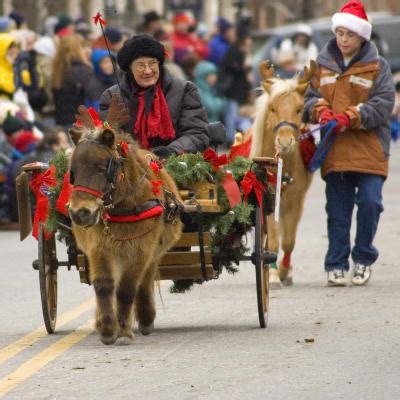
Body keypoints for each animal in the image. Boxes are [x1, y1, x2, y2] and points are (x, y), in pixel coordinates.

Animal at [67, 96, 183, 344]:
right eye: (73, 171)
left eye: (103, 168)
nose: (81, 213)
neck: (124, 206)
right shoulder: (98, 247)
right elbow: (103, 285)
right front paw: (107, 328)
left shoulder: (141, 249)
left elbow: (127, 289)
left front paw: (123, 329)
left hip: (153, 252)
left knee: (145, 280)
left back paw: (146, 319)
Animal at [252, 60, 318, 288]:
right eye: (272, 108)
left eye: (299, 109)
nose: (285, 141)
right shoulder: (267, 201)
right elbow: (272, 240)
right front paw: (271, 274)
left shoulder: (296, 200)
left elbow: (289, 241)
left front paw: (283, 271)